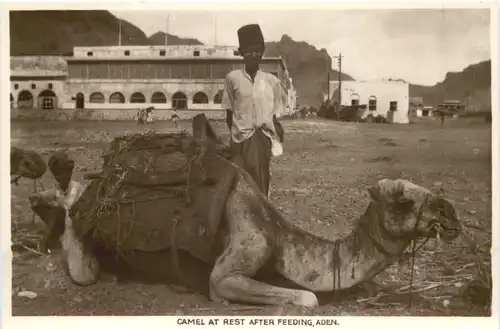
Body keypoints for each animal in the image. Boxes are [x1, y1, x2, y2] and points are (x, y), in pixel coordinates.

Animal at [29, 120, 462, 308]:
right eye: (403, 202)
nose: (452, 215)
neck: (282, 236)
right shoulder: (236, 261)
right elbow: (308, 299)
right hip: (86, 240)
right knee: (81, 262)